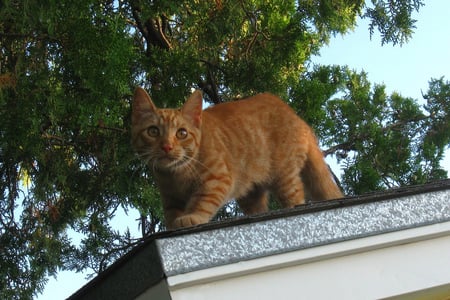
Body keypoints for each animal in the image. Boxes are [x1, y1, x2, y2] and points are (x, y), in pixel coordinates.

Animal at [132, 88, 342, 229]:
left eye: (181, 133)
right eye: (153, 131)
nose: (166, 146)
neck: (176, 175)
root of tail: (297, 117)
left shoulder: (217, 179)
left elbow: (201, 201)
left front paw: (192, 216)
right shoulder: (170, 198)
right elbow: (171, 215)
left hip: (285, 178)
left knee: (296, 199)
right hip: (250, 195)